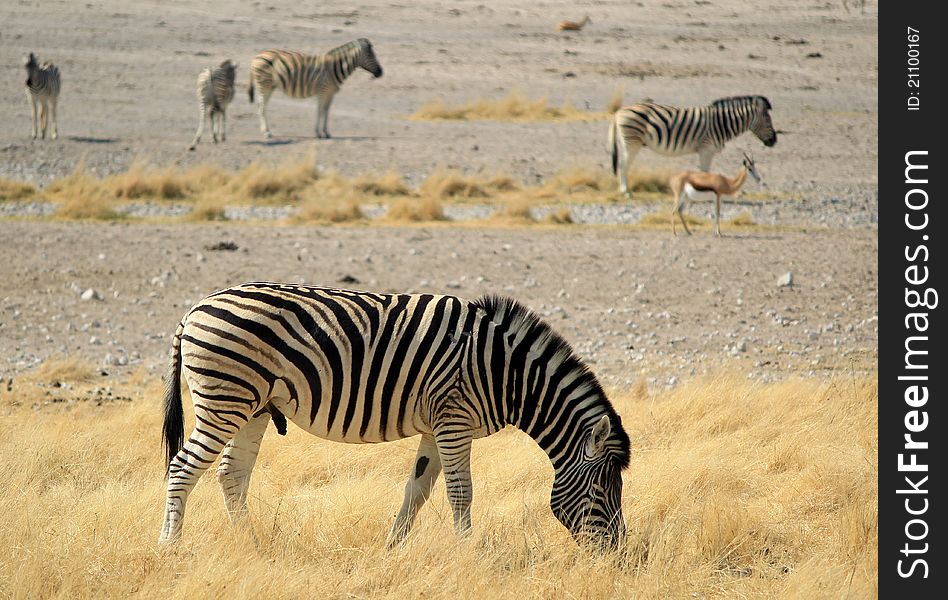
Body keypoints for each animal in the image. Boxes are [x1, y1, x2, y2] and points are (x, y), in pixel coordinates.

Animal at [159, 284, 632, 552]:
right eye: (603, 491)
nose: (620, 554)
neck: (507, 373)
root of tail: (194, 309)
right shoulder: (454, 421)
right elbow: (461, 493)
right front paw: (470, 554)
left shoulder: (438, 425)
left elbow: (417, 490)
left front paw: (392, 549)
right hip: (225, 399)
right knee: (182, 468)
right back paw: (170, 548)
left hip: (253, 406)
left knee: (232, 474)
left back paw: (251, 546)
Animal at [252, 38, 388, 139]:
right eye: (370, 55)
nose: (381, 72)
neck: (334, 67)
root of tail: (257, 55)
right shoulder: (322, 91)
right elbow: (320, 111)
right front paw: (318, 133)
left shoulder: (330, 93)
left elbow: (326, 111)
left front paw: (326, 132)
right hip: (264, 85)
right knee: (262, 107)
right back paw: (267, 133)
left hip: (270, 86)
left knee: (262, 106)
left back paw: (266, 130)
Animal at [608, 95, 776, 196]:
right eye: (768, 120)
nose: (774, 141)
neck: (722, 124)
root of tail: (619, 112)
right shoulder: (706, 149)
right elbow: (705, 172)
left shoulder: (705, 150)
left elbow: (703, 171)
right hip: (632, 142)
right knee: (623, 165)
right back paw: (626, 192)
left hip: (627, 142)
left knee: (622, 164)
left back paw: (623, 190)